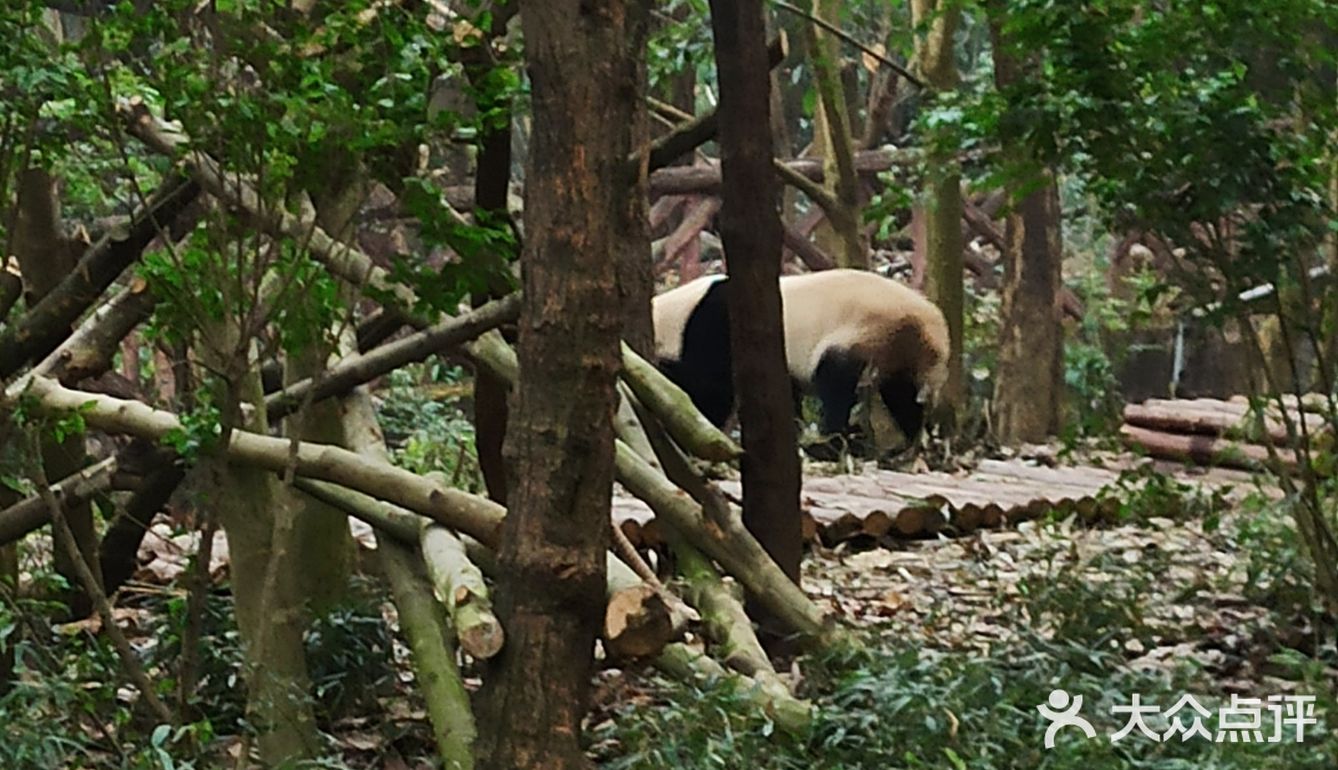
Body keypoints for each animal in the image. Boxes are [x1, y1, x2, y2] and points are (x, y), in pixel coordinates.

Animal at [650, 267, 952, 455]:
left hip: (865, 331)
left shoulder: (714, 327)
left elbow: (711, 387)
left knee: (835, 383)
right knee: (900, 392)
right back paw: (904, 443)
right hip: (896, 350)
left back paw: (830, 444)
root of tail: (928, 320)